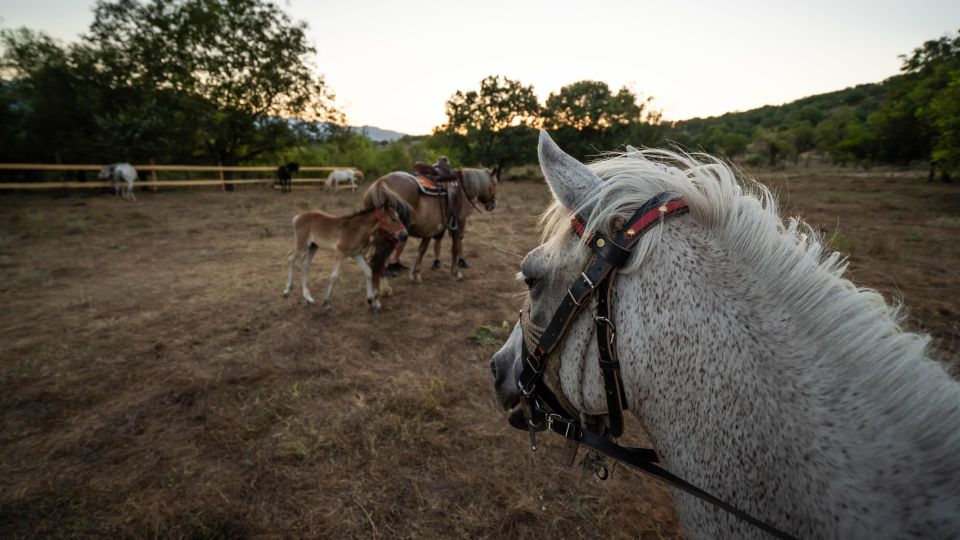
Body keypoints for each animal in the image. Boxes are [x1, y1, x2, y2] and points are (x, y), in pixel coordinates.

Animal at [358, 169, 496, 284]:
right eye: (494, 184)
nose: (493, 204)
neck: (462, 189)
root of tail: (380, 183)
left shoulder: (430, 231)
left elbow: (421, 251)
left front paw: (415, 275)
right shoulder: (458, 224)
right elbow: (455, 248)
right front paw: (456, 274)